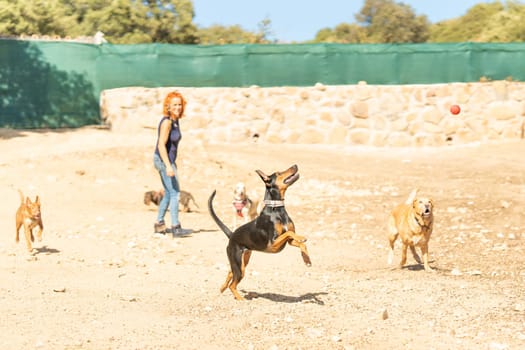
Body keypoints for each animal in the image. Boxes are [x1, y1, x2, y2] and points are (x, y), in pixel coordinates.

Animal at [206, 165, 312, 300]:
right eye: (278, 173)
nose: (295, 165)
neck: (276, 209)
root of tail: (232, 235)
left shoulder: (289, 242)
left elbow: (299, 241)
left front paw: (307, 260)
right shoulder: (273, 244)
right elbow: (290, 234)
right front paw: (302, 237)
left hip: (242, 261)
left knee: (230, 272)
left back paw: (222, 288)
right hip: (239, 265)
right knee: (233, 284)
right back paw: (240, 299)